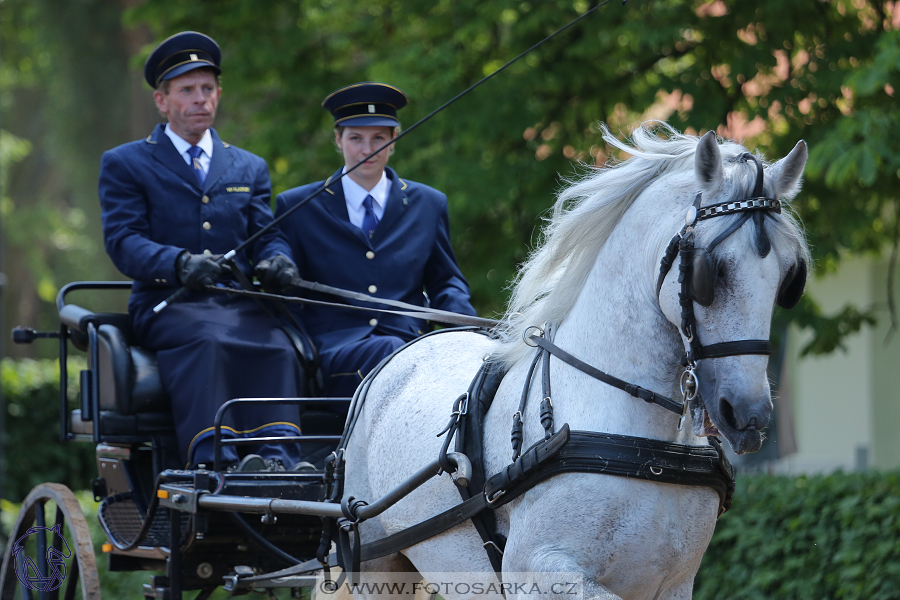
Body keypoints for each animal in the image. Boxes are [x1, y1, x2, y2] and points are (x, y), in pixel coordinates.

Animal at [342, 122, 812, 600]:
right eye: (709, 272)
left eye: (790, 277)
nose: (749, 414)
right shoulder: (536, 570)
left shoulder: (675, 584)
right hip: (379, 565)